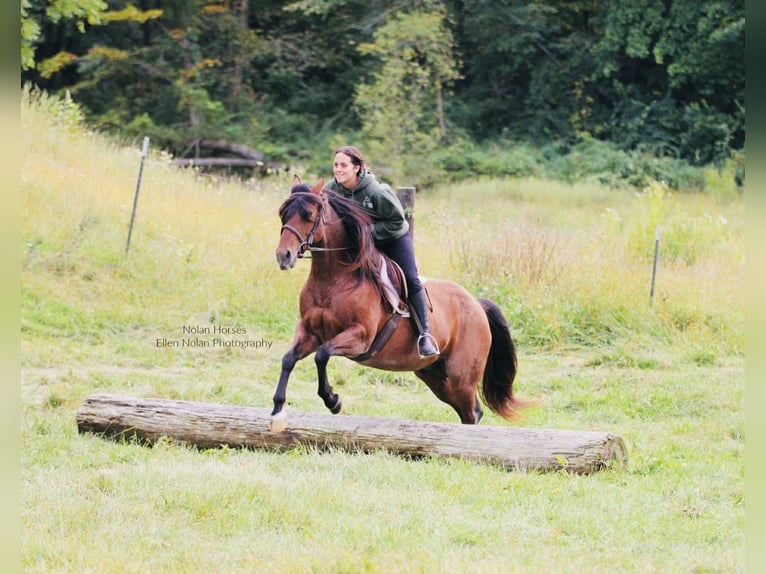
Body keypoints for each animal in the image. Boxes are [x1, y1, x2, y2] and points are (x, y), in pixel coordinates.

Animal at [269, 175, 523, 432]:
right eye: (283, 214)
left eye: (309, 215)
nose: (283, 256)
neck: (332, 279)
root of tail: (477, 305)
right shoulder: (310, 332)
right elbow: (288, 359)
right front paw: (278, 411)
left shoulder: (360, 337)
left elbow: (321, 355)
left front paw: (333, 400)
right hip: (434, 375)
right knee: (470, 411)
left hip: (461, 376)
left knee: (471, 412)